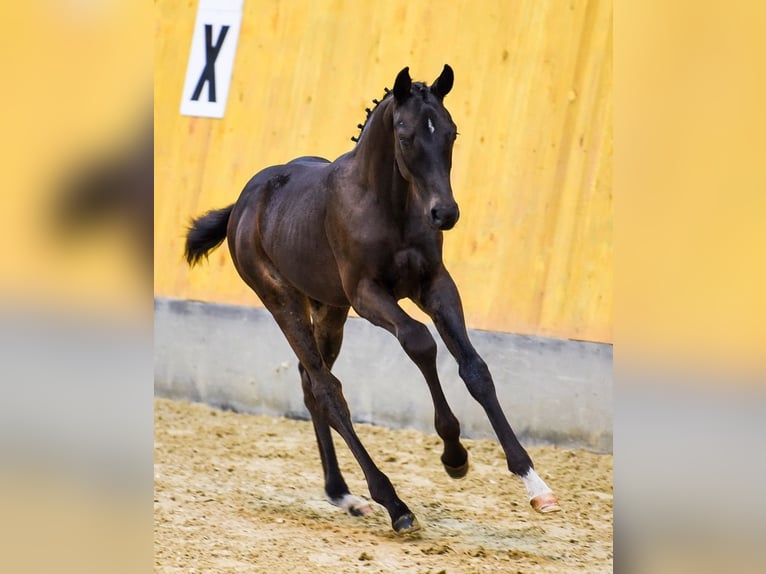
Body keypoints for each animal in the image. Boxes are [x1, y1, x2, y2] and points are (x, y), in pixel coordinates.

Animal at [183, 65, 560, 532]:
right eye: (405, 135)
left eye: (451, 133)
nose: (445, 213)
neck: (389, 206)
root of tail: (243, 202)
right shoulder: (367, 294)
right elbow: (420, 341)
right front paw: (453, 451)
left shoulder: (435, 284)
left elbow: (475, 368)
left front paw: (533, 483)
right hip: (281, 299)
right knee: (327, 389)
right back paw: (392, 503)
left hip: (329, 308)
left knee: (310, 383)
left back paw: (343, 494)